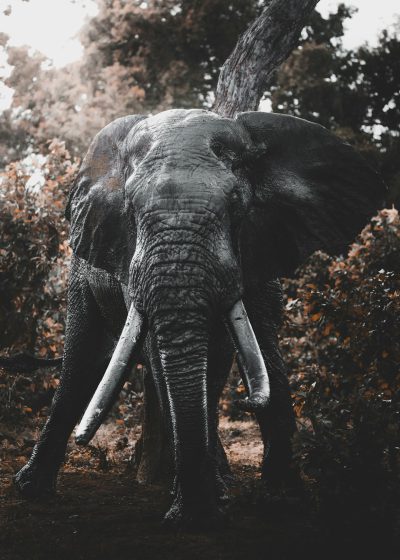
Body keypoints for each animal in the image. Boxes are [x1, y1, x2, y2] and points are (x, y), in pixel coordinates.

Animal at [14, 107, 386, 528]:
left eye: (235, 207)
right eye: (132, 212)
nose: (248, 402)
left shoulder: (262, 246)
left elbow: (267, 351)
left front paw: (284, 501)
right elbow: (159, 356)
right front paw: (196, 511)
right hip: (81, 273)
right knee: (83, 363)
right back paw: (32, 489)